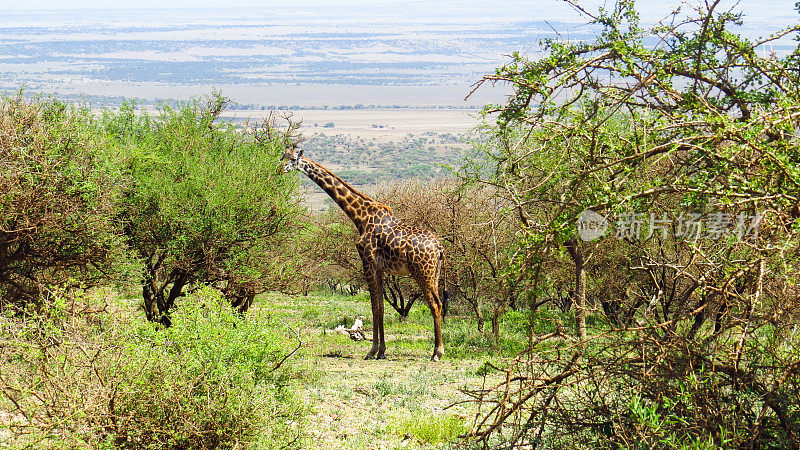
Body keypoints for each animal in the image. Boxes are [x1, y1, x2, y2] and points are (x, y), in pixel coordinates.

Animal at [282, 146, 446, 360]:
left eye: (293, 159)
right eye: (283, 155)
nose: (280, 168)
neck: (360, 217)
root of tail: (439, 247)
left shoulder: (367, 261)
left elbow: (374, 306)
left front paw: (372, 350)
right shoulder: (379, 267)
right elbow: (381, 306)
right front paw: (382, 350)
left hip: (422, 272)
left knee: (435, 304)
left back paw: (437, 353)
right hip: (435, 273)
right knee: (439, 304)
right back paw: (437, 350)